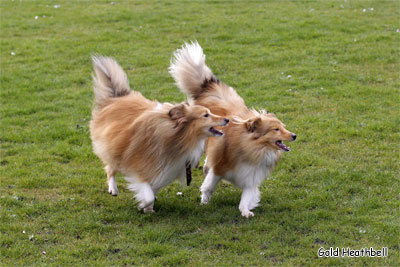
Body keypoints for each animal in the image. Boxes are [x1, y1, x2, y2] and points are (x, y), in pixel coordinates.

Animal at [90, 56, 228, 214]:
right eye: (206, 115)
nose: (227, 119)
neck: (178, 137)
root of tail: (116, 97)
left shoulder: (165, 169)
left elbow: (153, 190)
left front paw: (148, 208)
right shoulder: (140, 167)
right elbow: (148, 194)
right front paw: (144, 205)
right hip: (116, 148)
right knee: (110, 168)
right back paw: (113, 189)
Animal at [170, 42, 296, 218]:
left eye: (283, 127)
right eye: (276, 129)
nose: (294, 135)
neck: (254, 148)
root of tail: (210, 85)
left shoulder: (250, 177)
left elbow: (246, 198)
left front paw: (246, 211)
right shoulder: (219, 168)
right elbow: (208, 187)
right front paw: (204, 202)